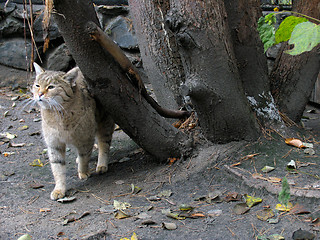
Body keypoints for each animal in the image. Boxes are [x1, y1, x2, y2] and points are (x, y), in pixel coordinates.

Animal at [30, 62, 115, 200]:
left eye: (51, 87)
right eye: (37, 85)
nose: (40, 94)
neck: (57, 115)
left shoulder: (86, 138)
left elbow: (84, 157)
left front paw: (83, 172)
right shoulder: (54, 144)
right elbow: (57, 168)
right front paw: (59, 189)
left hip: (104, 122)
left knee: (104, 144)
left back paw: (101, 164)